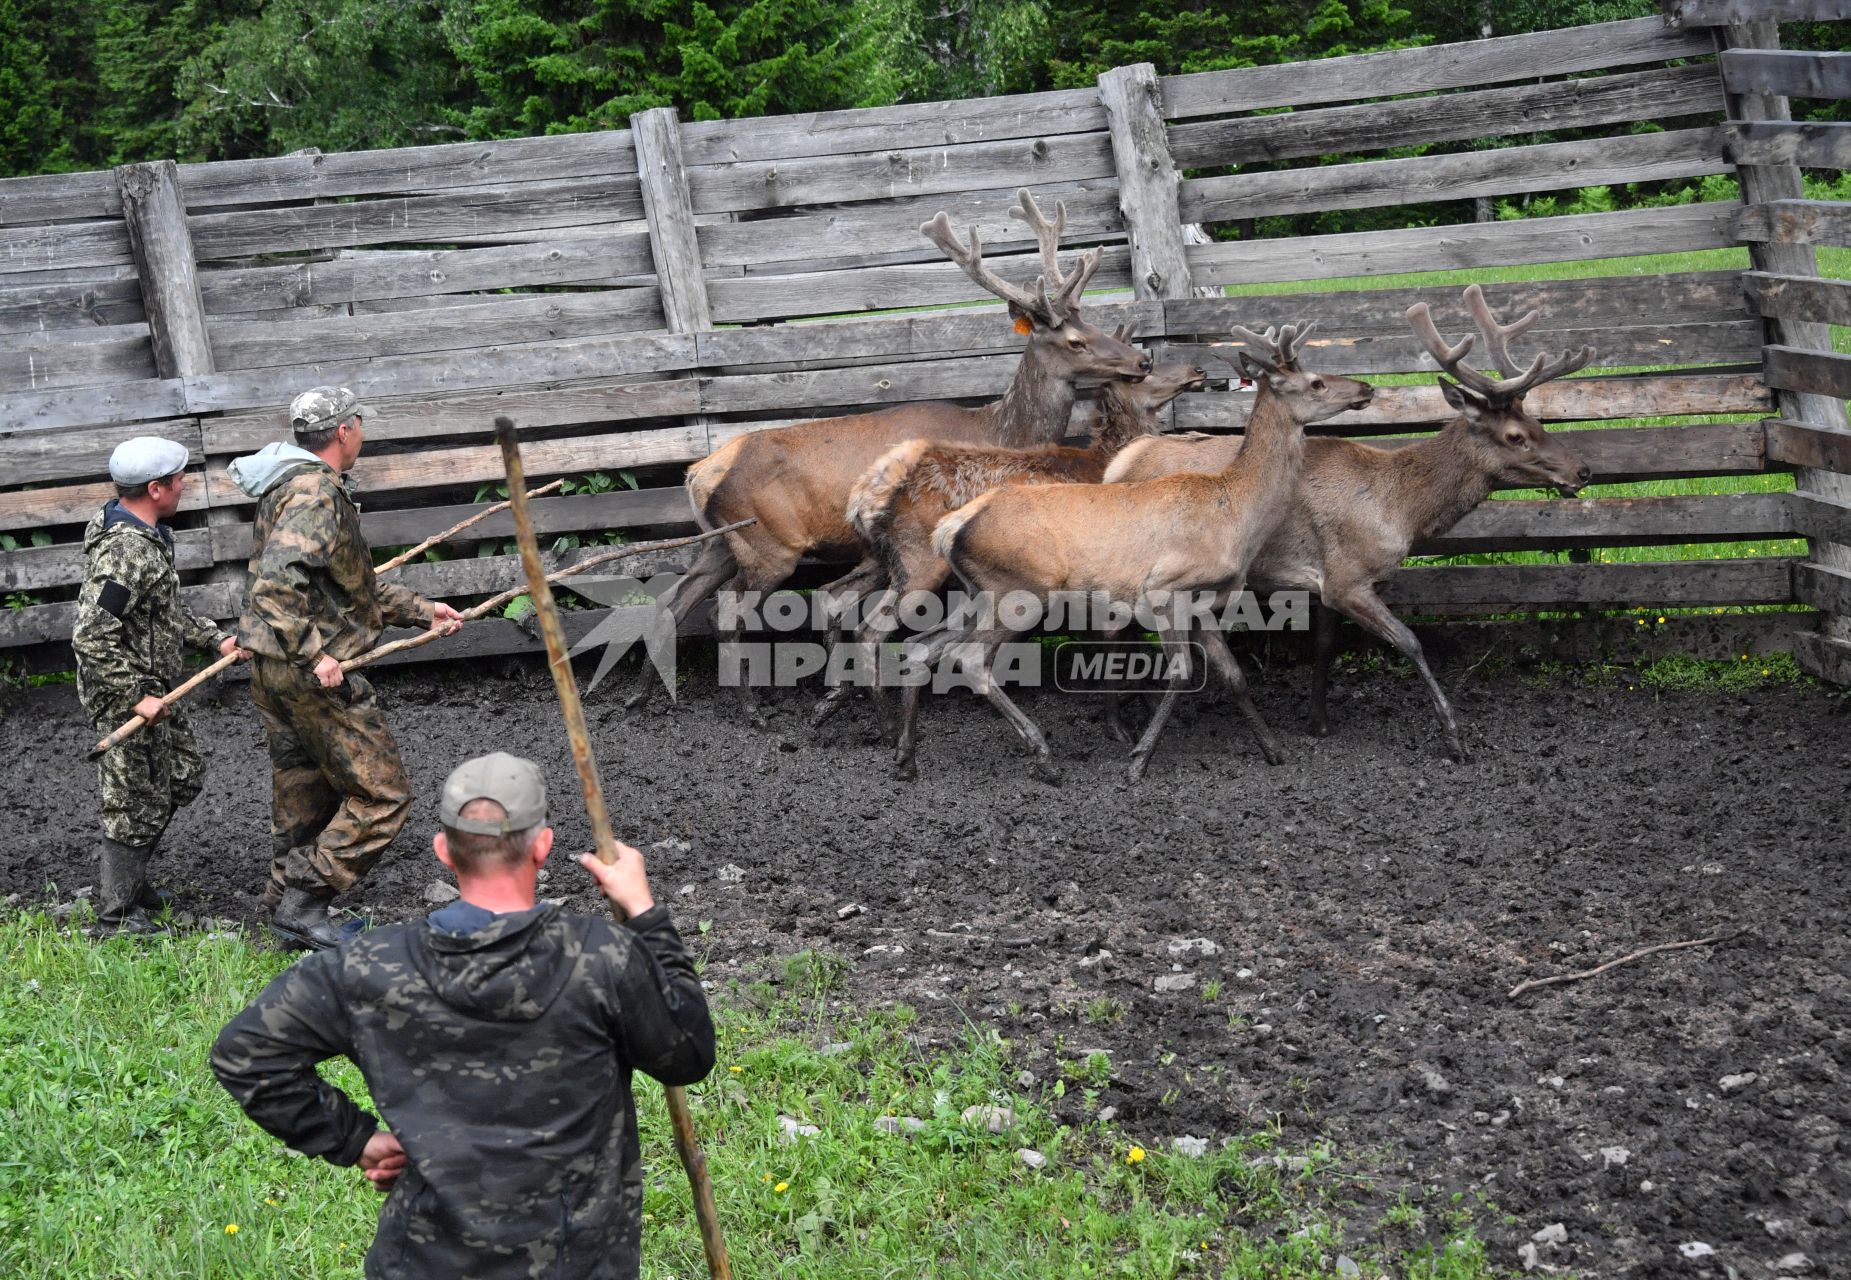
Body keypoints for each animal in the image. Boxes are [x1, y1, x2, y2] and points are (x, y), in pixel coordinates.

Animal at [629, 185, 1147, 725]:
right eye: (1076, 340)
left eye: (1093, 322)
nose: (1142, 360)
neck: (997, 430)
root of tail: (698, 472)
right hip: (768, 546)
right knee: (724, 612)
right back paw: (751, 706)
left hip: (718, 544)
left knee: (676, 600)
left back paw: (643, 696)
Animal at [818, 356, 1206, 728]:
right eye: (1145, 370)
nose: (1196, 368)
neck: (1105, 461)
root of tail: (867, 491)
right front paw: (1124, 721)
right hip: (919, 563)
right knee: (871, 631)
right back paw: (884, 724)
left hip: (880, 559)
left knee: (836, 596)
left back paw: (835, 700)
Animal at [895, 321, 1377, 780]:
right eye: (1316, 382)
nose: (1366, 388)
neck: (1237, 516)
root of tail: (949, 527)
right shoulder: (1165, 587)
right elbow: (1182, 673)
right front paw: (1139, 759)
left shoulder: (1203, 603)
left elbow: (1234, 675)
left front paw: (1274, 751)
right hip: (1020, 590)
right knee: (969, 659)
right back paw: (1044, 756)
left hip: (978, 593)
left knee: (923, 646)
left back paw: (906, 758)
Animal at [1095, 284, 1591, 765]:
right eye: (1515, 436)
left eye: (1537, 421)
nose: (1582, 470)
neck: (1401, 509)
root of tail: (1119, 463)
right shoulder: (1348, 578)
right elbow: (1411, 642)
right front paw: (1454, 738)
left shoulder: (1328, 581)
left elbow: (1325, 645)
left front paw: (1318, 721)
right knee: (1116, 628)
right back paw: (1120, 725)